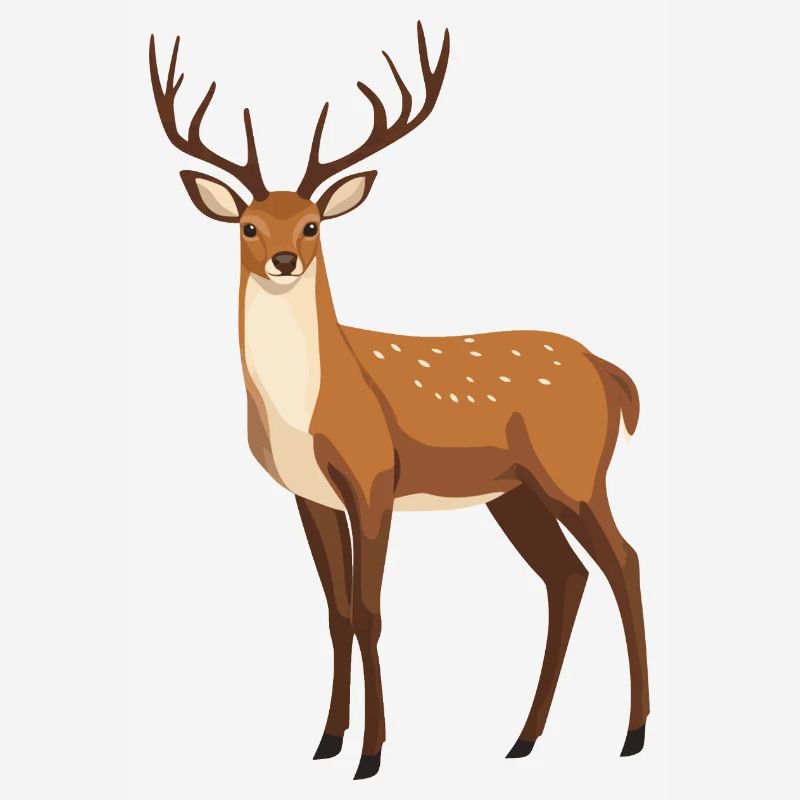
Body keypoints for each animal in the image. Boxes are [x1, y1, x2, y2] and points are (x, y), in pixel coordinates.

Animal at [149, 22, 649, 781]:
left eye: (314, 224)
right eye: (249, 226)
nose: (285, 261)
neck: (307, 409)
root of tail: (610, 372)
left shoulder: (374, 475)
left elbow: (370, 611)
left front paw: (372, 754)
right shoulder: (310, 495)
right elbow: (335, 613)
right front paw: (326, 741)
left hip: (574, 470)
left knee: (624, 561)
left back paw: (633, 732)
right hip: (515, 493)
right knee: (566, 576)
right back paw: (524, 738)